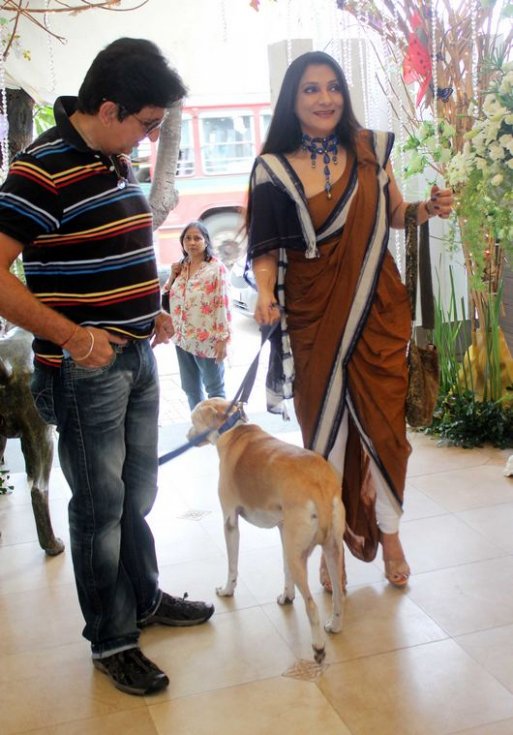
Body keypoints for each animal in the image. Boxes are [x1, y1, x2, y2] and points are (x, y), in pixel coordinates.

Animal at [186, 400, 346, 664]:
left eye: (193, 420)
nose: (186, 437)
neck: (232, 429)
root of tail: (319, 486)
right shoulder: (282, 529)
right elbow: (284, 571)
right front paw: (286, 596)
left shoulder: (230, 521)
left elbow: (232, 566)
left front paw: (227, 590)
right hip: (330, 549)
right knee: (338, 594)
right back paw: (334, 625)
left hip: (299, 555)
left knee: (312, 607)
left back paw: (318, 647)